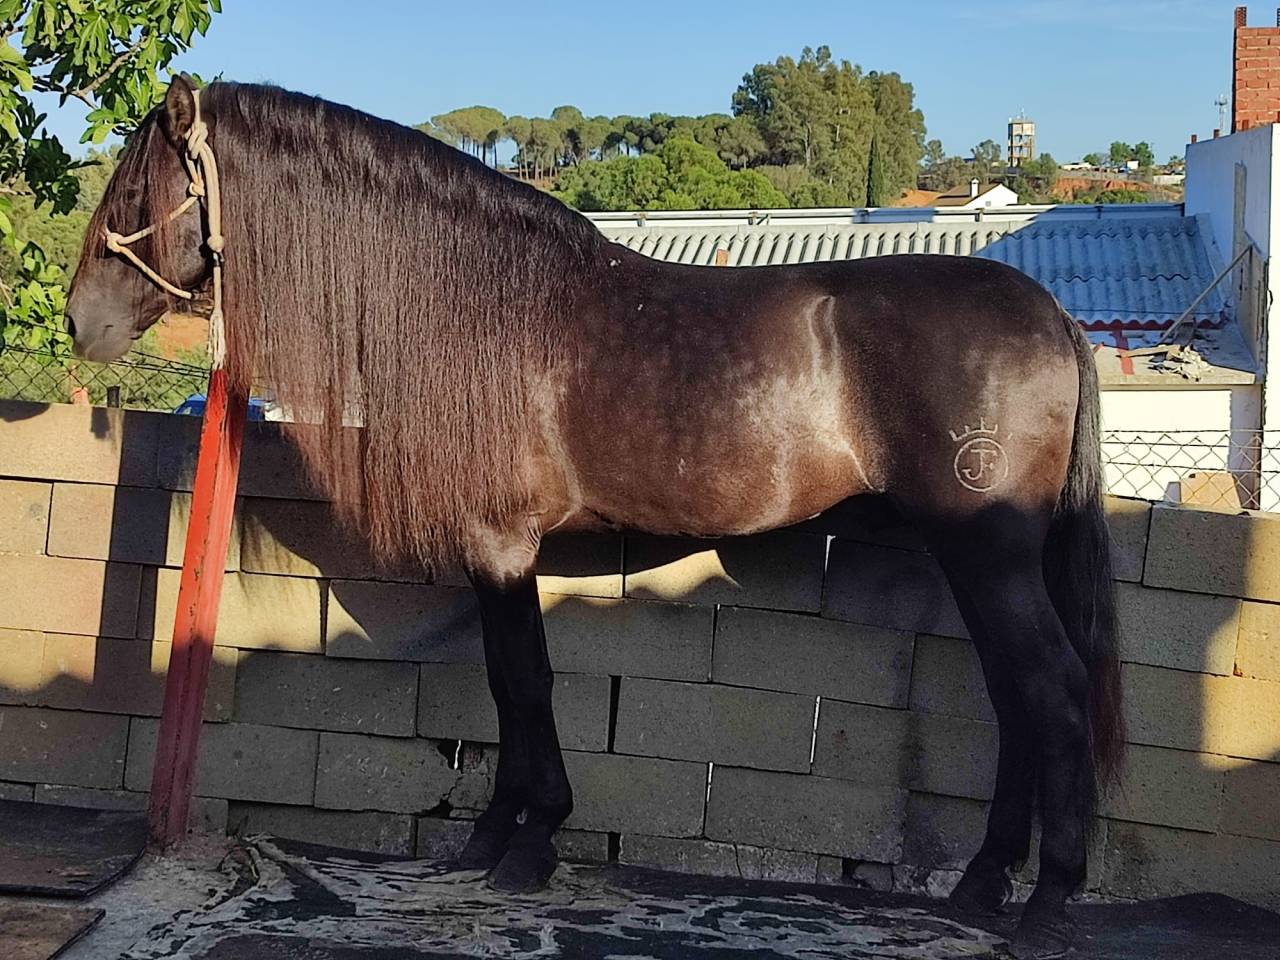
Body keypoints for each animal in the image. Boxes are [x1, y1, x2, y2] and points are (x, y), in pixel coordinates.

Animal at [66, 76, 1122, 960]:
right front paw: (492, 837)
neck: (479, 307)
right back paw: (983, 884)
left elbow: (525, 682)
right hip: (975, 561)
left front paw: (530, 843)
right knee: (1015, 699)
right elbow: (506, 684)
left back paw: (1047, 901)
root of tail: (1052, 314)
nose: (80, 321)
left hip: (989, 555)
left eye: (132, 192)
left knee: (1055, 692)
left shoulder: (501, 545)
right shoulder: (491, 550)